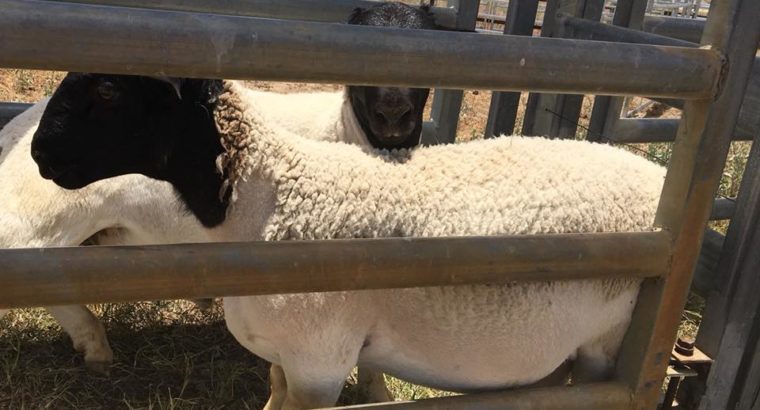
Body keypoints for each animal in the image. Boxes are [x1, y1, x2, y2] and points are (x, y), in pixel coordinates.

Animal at [31, 73, 665, 409]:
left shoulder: (320, 360)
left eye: (108, 90)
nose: (37, 153)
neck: (267, 196)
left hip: (609, 341)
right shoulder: (284, 356)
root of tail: (654, 175)